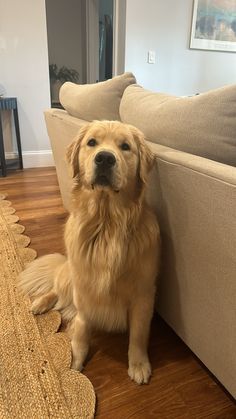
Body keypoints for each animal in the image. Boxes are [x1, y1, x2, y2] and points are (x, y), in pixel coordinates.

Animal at [19, 120, 161, 386]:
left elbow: (138, 333)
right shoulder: (83, 286)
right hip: (69, 274)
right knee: (56, 290)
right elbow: (82, 329)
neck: (106, 223)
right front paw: (74, 357)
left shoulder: (144, 293)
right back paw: (40, 303)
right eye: (92, 142)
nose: (104, 158)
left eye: (125, 146)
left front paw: (138, 364)